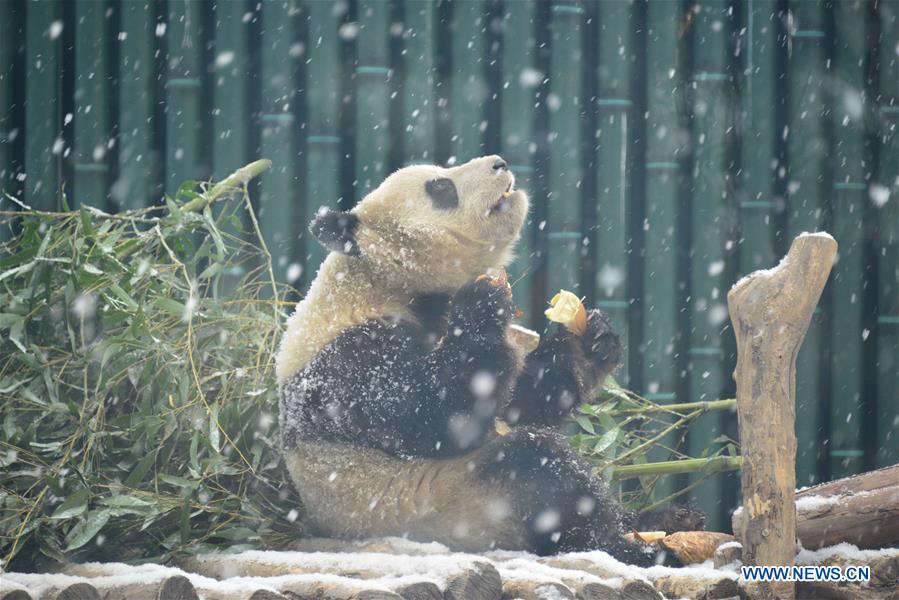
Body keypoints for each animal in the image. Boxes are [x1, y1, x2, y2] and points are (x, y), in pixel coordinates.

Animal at [274, 154, 652, 564]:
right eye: (441, 187)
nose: (500, 163)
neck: (383, 281)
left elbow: (519, 405)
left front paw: (592, 339)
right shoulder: (348, 360)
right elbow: (433, 416)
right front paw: (482, 304)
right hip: (454, 506)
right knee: (537, 468)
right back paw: (626, 546)